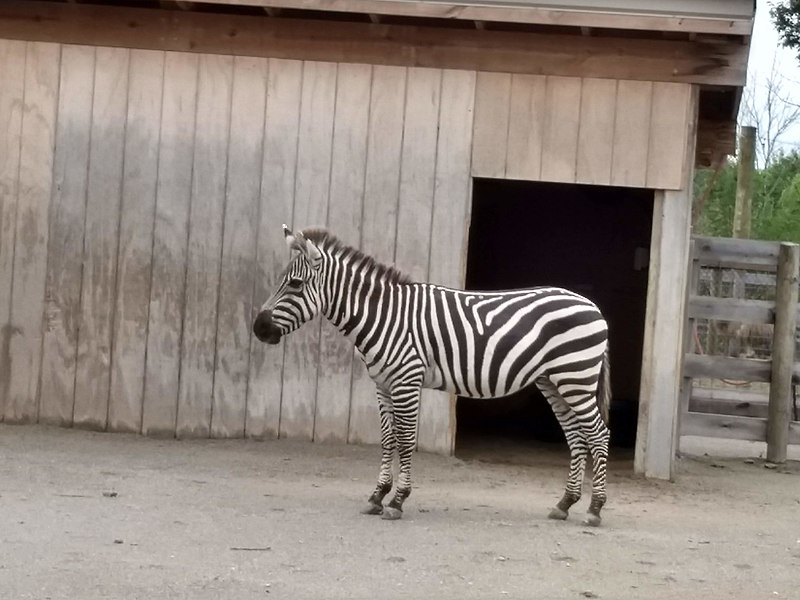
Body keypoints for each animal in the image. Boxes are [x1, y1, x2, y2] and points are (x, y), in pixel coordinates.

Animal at [253, 224, 608, 524]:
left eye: (295, 284)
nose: (258, 328)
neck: (383, 316)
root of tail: (592, 305)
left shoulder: (406, 381)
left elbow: (407, 439)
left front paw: (397, 501)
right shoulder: (382, 385)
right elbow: (388, 439)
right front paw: (377, 496)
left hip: (576, 377)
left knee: (598, 434)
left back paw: (594, 509)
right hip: (553, 381)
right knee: (576, 437)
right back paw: (565, 503)